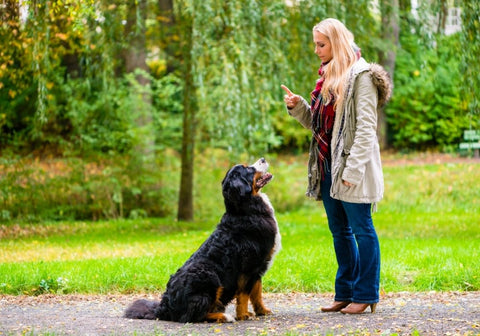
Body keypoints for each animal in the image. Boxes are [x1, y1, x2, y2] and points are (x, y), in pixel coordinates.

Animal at [124, 159, 282, 324]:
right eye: (248, 169)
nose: (263, 159)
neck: (246, 210)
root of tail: (164, 307)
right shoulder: (249, 267)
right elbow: (244, 295)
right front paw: (243, 314)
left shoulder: (258, 267)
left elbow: (257, 293)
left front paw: (262, 311)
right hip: (209, 275)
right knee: (193, 316)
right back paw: (224, 316)